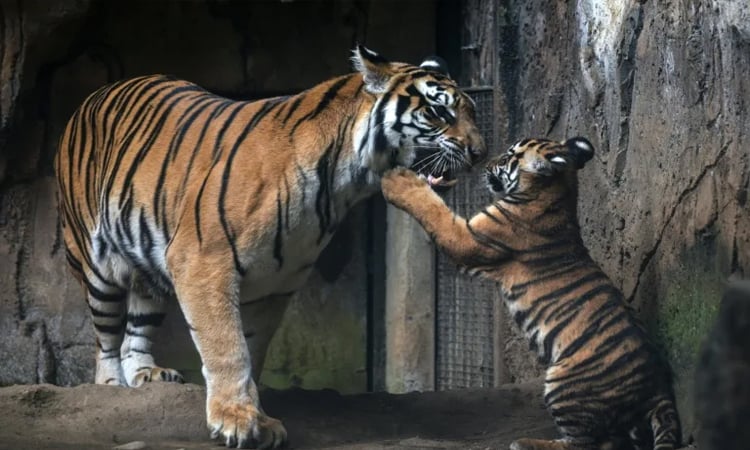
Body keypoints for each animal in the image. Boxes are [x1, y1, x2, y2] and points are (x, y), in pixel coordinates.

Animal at [54, 46, 485, 449]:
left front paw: (258, 419)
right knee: (105, 339)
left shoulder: (276, 282)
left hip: (148, 267)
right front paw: (235, 420)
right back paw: (111, 386)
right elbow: (226, 347)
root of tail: (100, 92)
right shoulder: (203, 262)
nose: (480, 152)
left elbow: (252, 348)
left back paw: (147, 375)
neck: (341, 184)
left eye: (472, 112)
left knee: (137, 328)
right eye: (438, 111)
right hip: (95, 262)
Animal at [380, 137, 682, 450]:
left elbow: (433, 210)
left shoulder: (468, 238)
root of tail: (658, 388)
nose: (484, 162)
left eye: (508, 157)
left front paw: (396, 181)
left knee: (581, 443)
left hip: (564, 383)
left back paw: (526, 442)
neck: (556, 191)